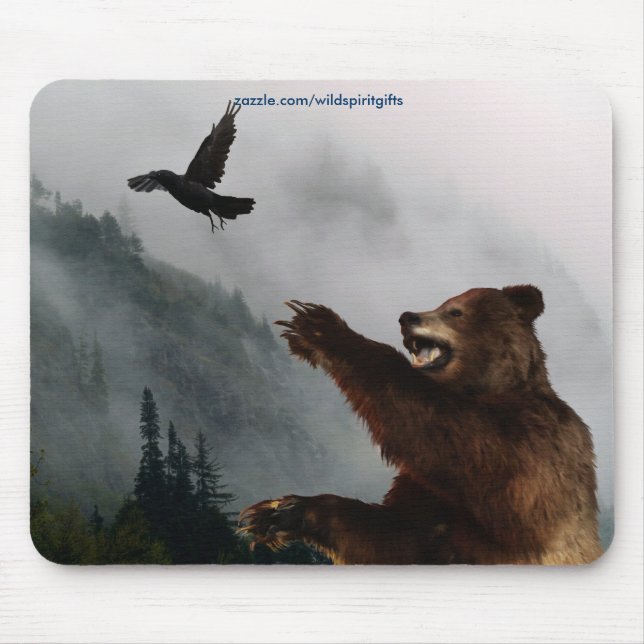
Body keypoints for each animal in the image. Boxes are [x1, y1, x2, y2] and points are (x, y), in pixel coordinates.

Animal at [238, 285, 603, 565]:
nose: (407, 317)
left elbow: (455, 441)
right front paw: (277, 513)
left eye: (455, 312)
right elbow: (394, 535)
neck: (484, 389)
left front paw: (320, 327)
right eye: (442, 303)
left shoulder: (532, 450)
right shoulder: (426, 494)